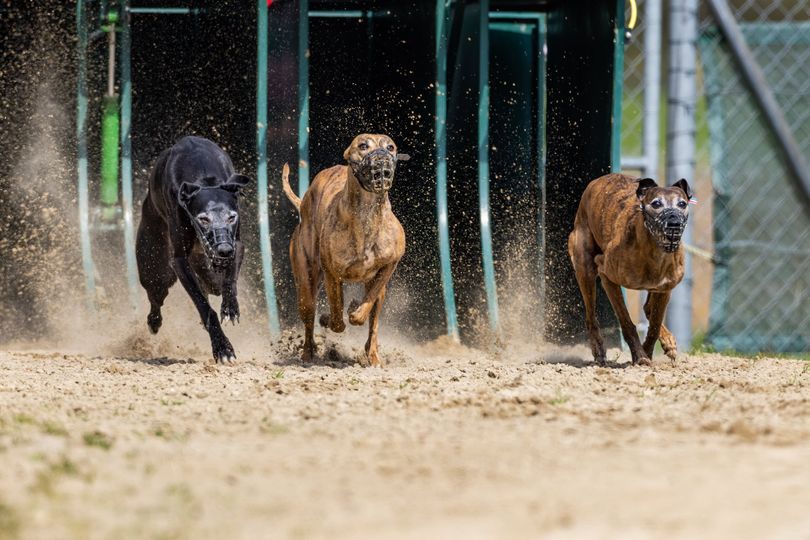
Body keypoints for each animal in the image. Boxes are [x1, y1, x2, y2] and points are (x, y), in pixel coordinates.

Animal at [137, 135, 249, 362]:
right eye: (203, 219)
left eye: (231, 217)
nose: (224, 250)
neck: (203, 177)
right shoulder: (180, 262)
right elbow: (204, 306)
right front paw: (223, 348)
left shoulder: (237, 245)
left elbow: (229, 280)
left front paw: (230, 308)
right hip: (155, 270)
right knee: (156, 298)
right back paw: (154, 322)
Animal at [282, 134, 408, 368]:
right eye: (363, 145)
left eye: (390, 147)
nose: (381, 161)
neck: (367, 216)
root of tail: (303, 203)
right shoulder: (332, 274)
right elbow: (337, 316)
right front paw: (331, 318)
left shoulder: (388, 266)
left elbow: (365, 307)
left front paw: (355, 310)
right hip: (305, 285)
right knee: (310, 319)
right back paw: (308, 353)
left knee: (373, 322)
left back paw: (372, 355)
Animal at [564, 175, 692, 364]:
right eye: (656, 203)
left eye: (682, 204)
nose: (674, 223)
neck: (653, 252)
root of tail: (596, 181)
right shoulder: (606, 275)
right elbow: (626, 322)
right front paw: (640, 356)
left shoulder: (664, 289)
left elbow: (654, 326)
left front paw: (648, 352)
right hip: (584, 267)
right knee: (590, 316)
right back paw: (598, 349)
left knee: (648, 309)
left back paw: (668, 341)